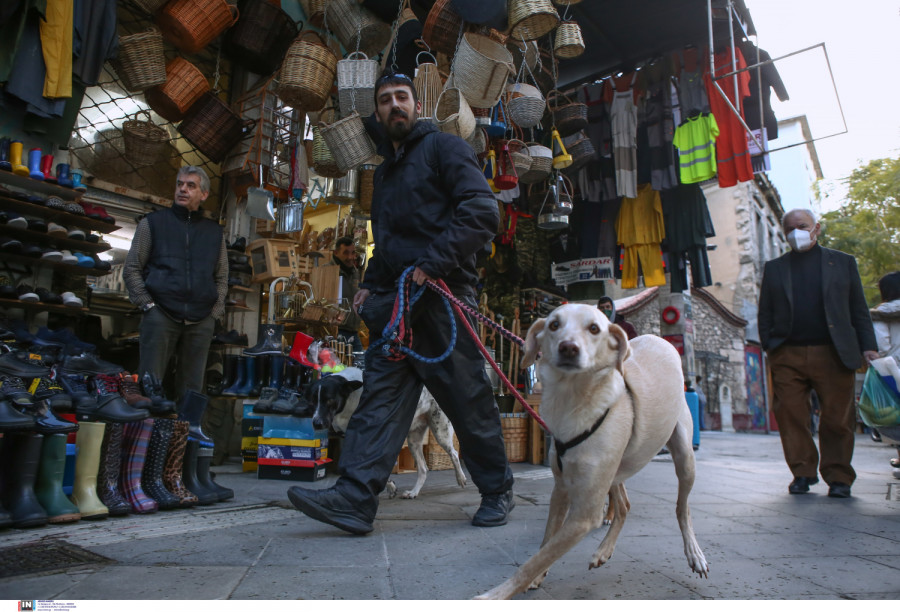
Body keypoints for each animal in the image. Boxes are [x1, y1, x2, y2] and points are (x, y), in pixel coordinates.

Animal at [306, 368, 468, 498]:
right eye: (312, 401)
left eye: (329, 400)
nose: (316, 423)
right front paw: (389, 486)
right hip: (414, 440)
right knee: (423, 469)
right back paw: (413, 493)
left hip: (441, 431)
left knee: (454, 454)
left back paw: (460, 478)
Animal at [474, 304, 708, 600]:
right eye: (553, 325)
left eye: (594, 328)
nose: (568, 348)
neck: (573, 400)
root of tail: (660, 339)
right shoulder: (561, 489)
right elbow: (546, 543)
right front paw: (538, 576)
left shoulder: (585, 515)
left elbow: (534, 560)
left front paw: (496, 594)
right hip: (614, 471)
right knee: (624, 506)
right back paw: (603, 551)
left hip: (684, 458)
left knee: (682, 508)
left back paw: (695, 554)